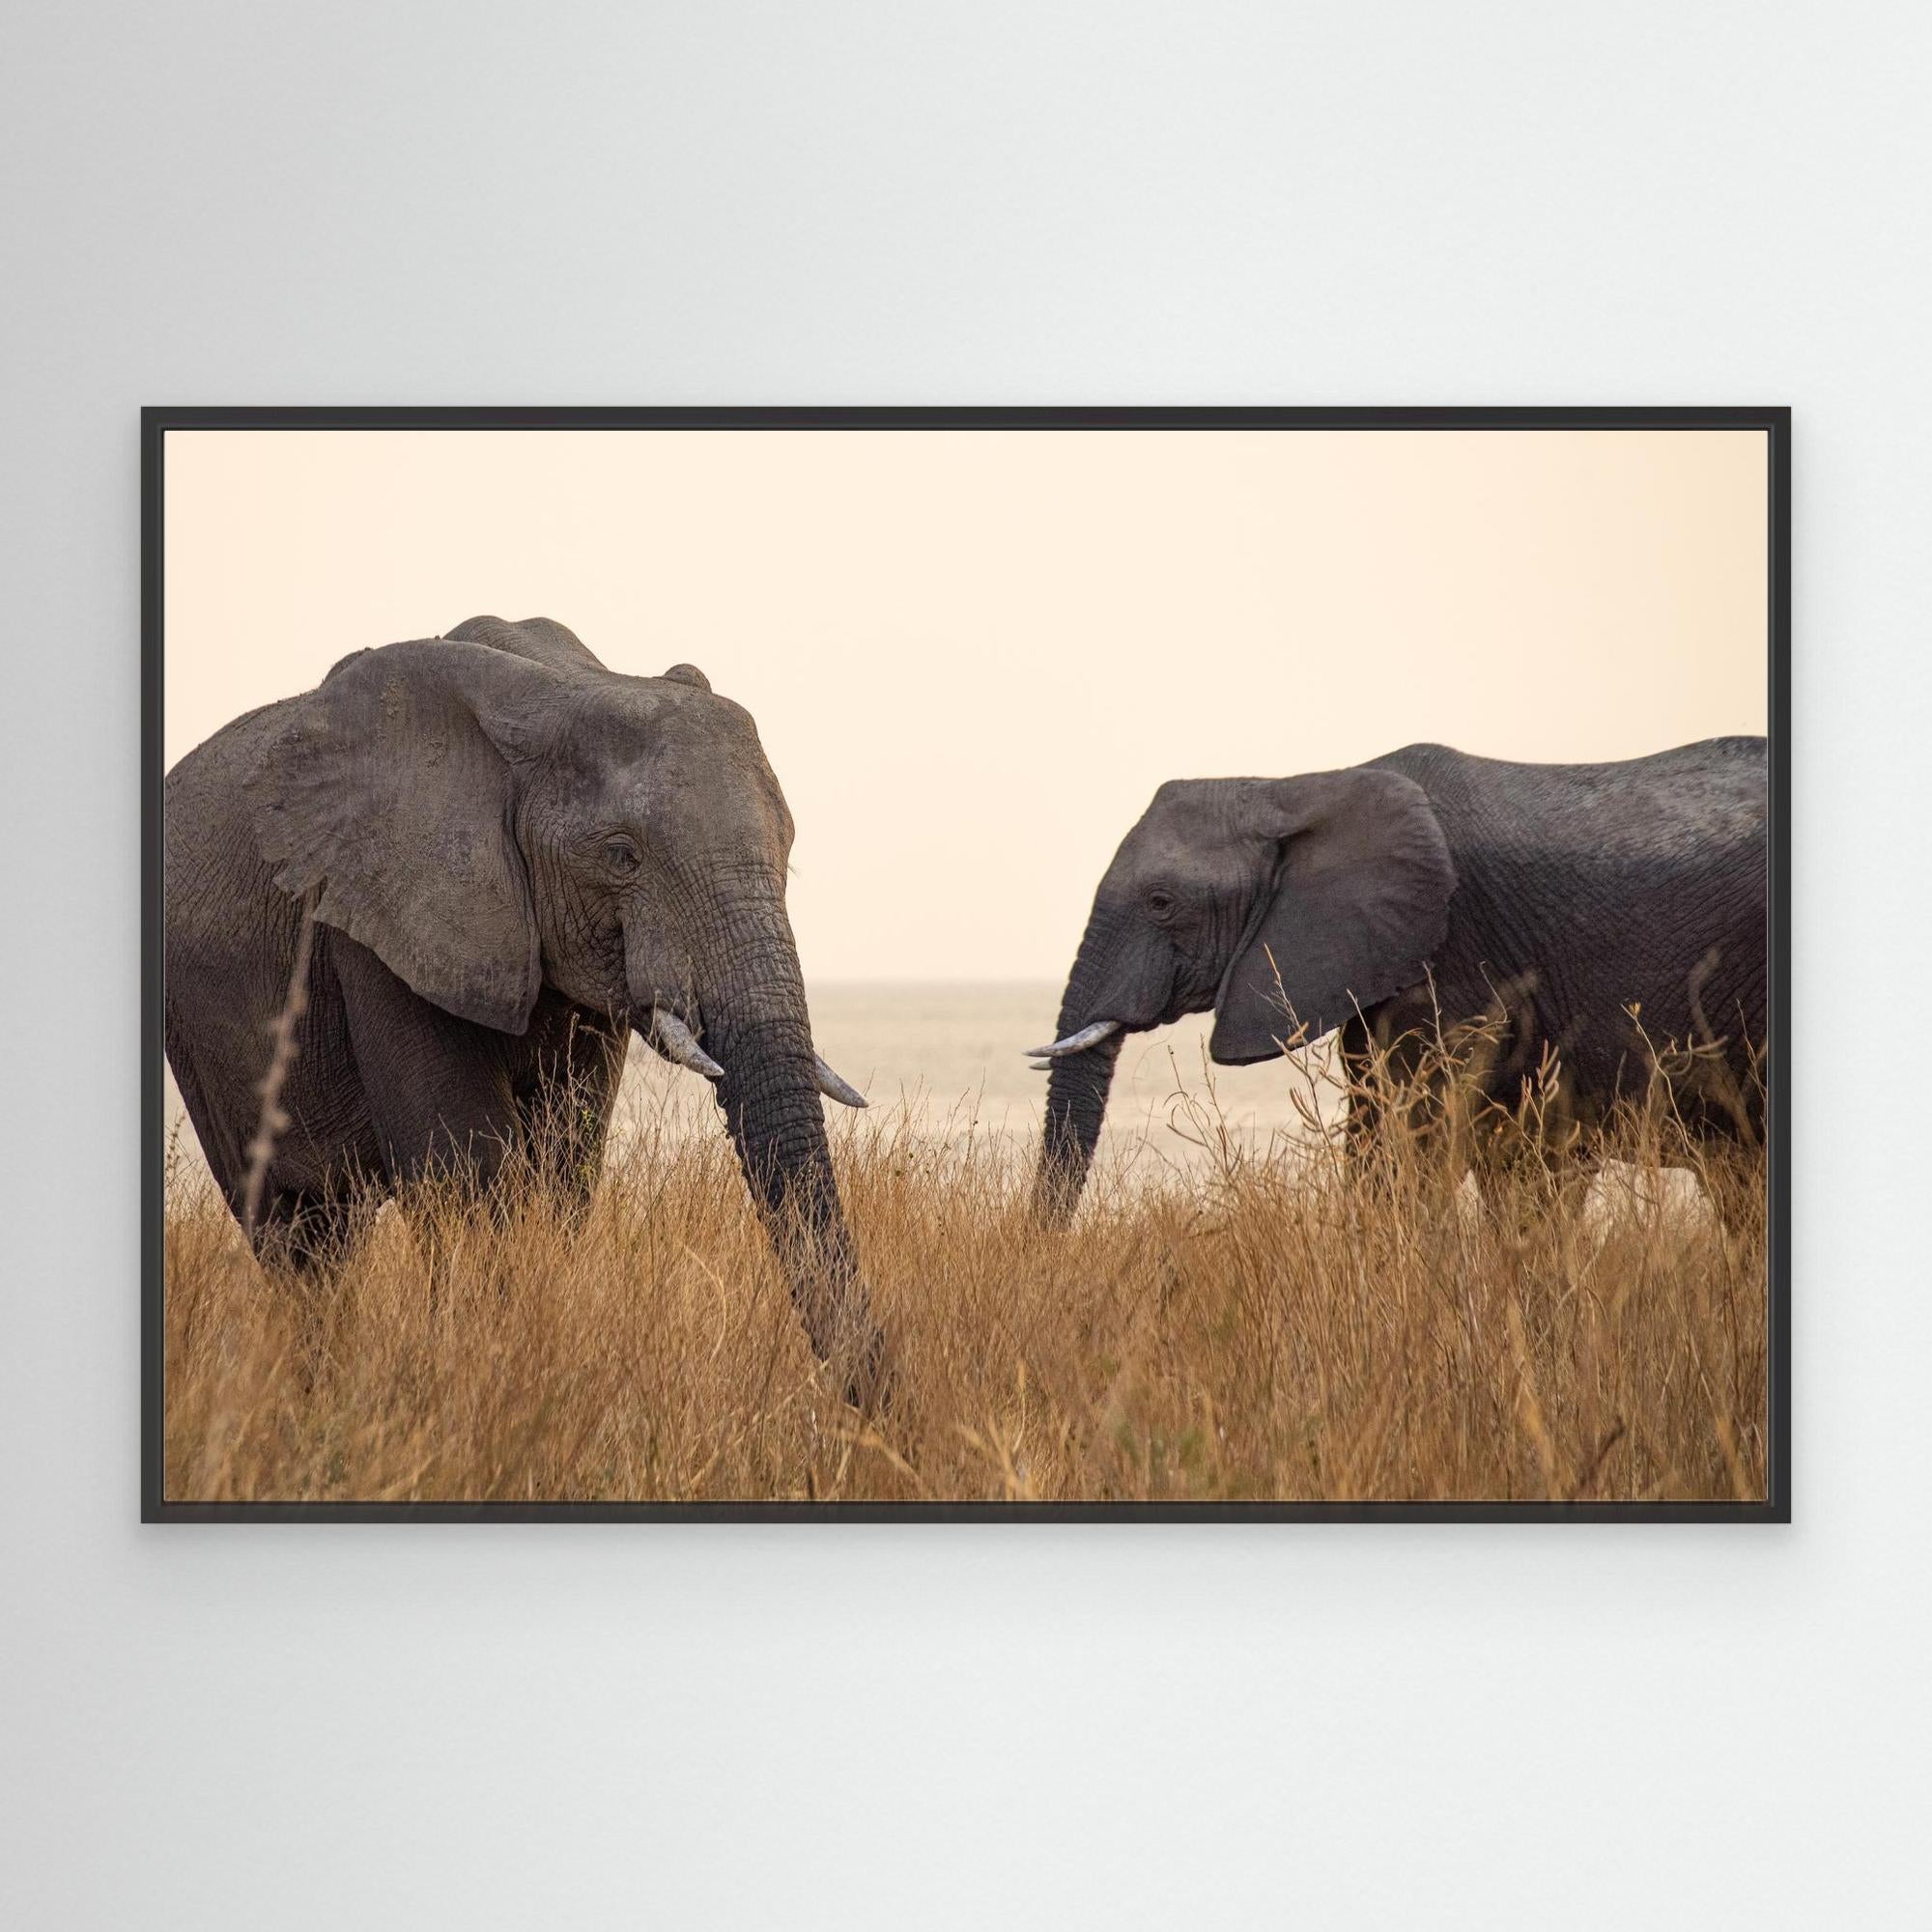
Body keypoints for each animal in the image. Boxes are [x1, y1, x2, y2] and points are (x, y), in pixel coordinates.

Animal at [164, 614, 878, 1376]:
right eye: (621, 855)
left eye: (788, 852)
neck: (555, 695)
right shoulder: (379, 926)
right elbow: (468, 1166)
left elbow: (568, 1159)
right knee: (294, 1233)